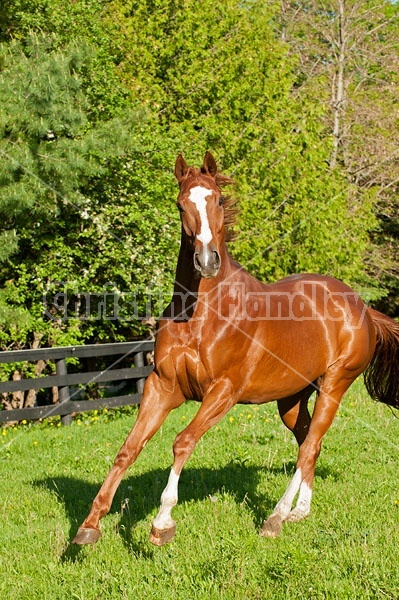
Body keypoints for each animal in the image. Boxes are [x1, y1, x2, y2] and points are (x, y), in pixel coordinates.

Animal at [72, 151, 399, 548]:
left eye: (216, 200)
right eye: (180, 204)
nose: (206, 261)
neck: (199, 314)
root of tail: (361, 306)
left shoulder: (223, 391)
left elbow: (182, 442)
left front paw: (162, 523)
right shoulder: (161, 386)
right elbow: (128, 449)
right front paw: (90, 524)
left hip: (335, 384)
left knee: (309, 444)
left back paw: (275, 517)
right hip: (291, 398)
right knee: (309, 442)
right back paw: (299, 511)